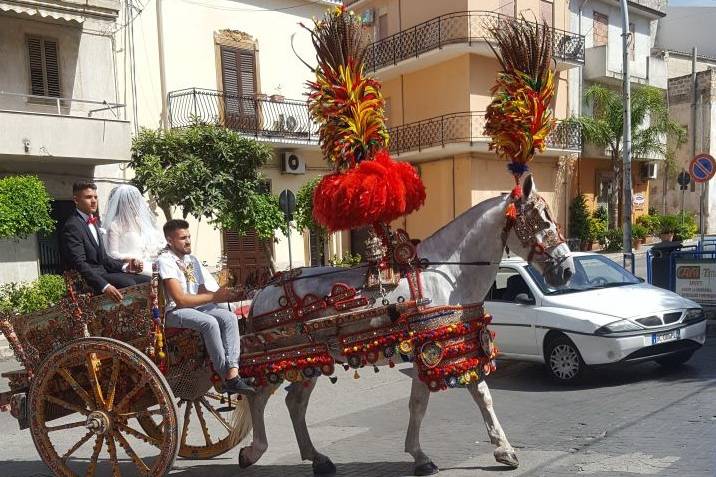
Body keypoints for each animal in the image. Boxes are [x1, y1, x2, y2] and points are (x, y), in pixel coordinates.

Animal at [238, 174, 572, 472]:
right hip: (280, 360)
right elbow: (423, 405)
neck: (446, 273)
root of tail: (261, 293)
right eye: (542, 221)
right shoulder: (433, 349)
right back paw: (253, 451)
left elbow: (480, 396)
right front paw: (422, 456)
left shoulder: (454, 346)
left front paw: (504, 450)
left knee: (294, 403)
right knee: (258, 397)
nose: (567, 270)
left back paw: (317, 458)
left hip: (309, 361)